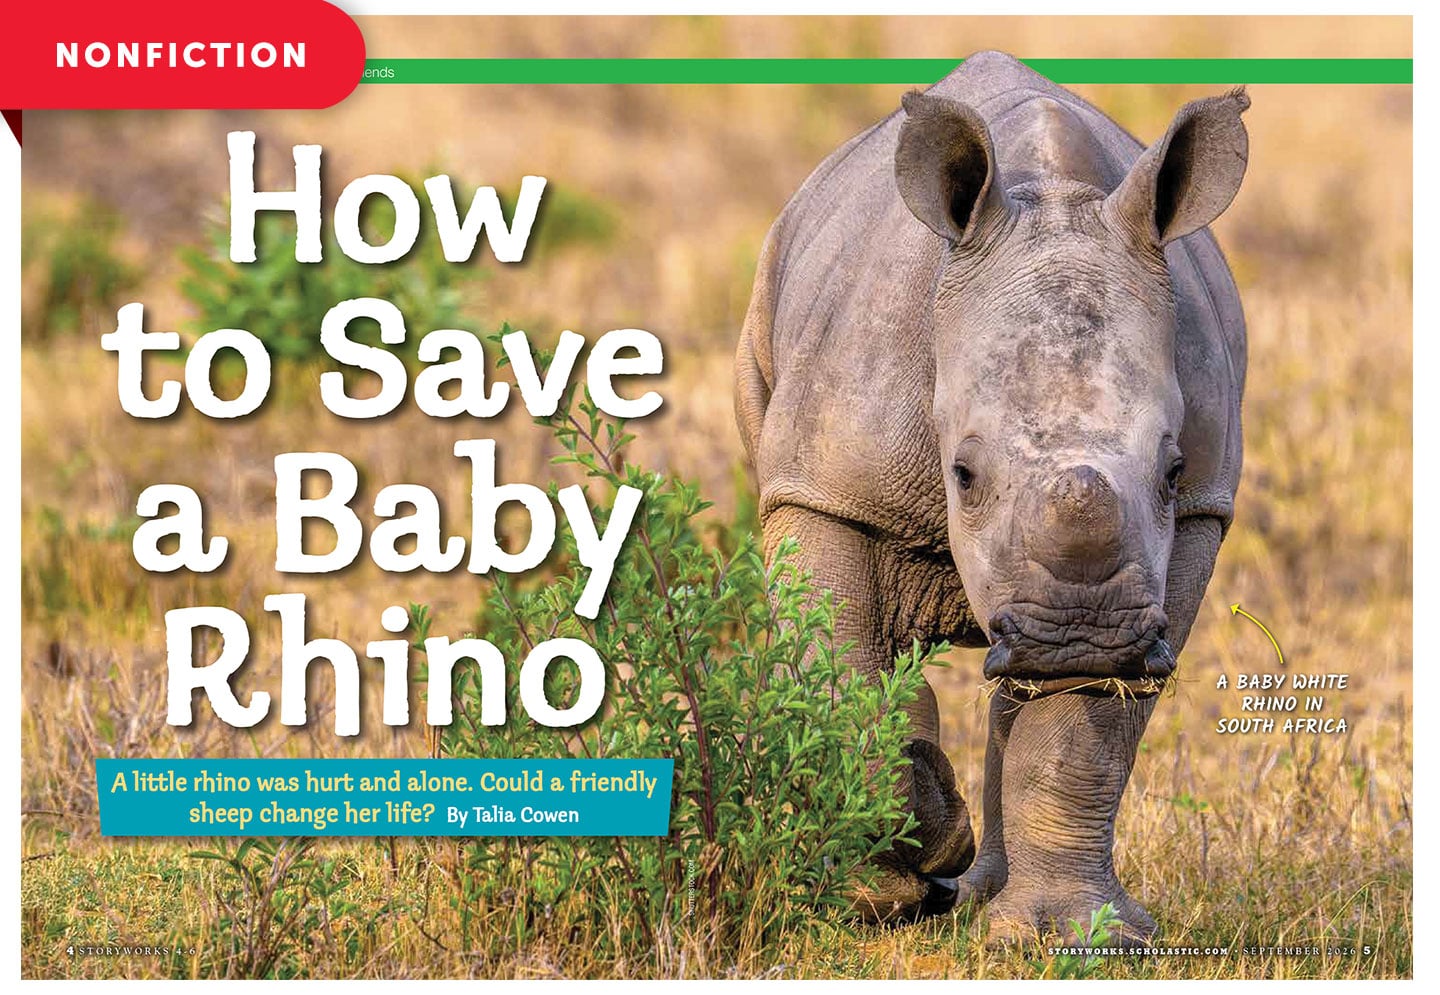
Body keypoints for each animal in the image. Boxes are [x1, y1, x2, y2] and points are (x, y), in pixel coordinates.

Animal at [734, 51, 1248, 941]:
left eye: (1172, 471)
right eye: (963, 474)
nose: (1081, 638)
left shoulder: (1197, 515)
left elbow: (1088, 733)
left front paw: (1075, 937)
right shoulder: (824, 484)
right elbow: (841, 661)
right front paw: (886, 882)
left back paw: (981, 898)